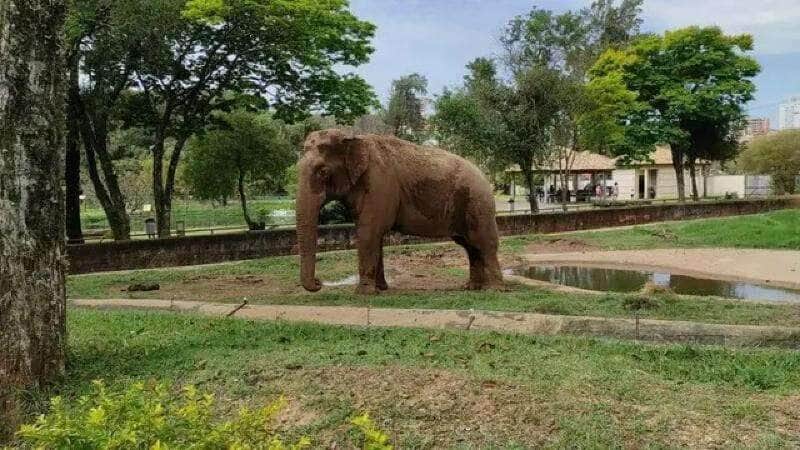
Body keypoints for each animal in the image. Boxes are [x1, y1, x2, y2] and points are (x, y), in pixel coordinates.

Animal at [296, 129, 503, 294]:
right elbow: (375, 236)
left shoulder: (379, 183)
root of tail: (485, 177)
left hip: (478, 203)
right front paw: (381, 289)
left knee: (483, 243)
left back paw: (493, 290)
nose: (319, 283)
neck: (352, 135)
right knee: (469, 245)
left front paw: (363, 293)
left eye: (322, 172)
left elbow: (368, 232)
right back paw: (471, 287)